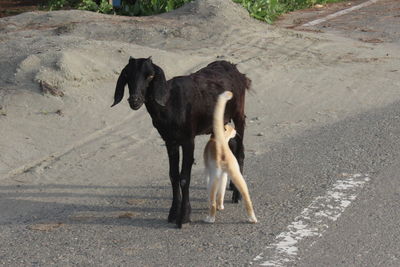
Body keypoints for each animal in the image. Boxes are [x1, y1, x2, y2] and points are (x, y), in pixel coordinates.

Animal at [112, 57, 250, 229]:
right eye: (127, 75)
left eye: (150, 76)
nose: (134, 100)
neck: (170, 103)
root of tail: (234, 69)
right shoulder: (170, 141)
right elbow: (173, 176)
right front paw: (172, 213)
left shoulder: (188, 139)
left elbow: (184, 177)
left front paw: (184, 216)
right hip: (220, 121)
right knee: (232, 145)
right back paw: (230, 186)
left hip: (239, 114)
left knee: (240, 151)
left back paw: (237, 195)